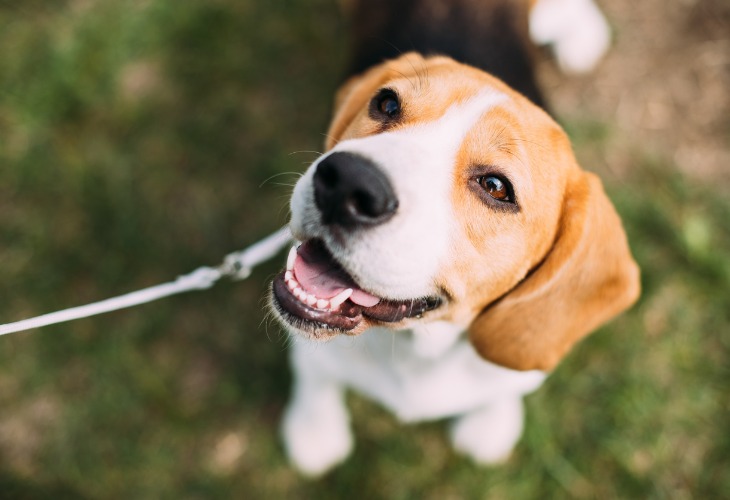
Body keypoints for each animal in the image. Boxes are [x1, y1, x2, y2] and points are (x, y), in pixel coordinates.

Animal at [268, 0, 636, 474]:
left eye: (496, 187)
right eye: (387, 103)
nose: (346, 182)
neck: (416, 348)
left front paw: (491, 424)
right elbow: (316, 372)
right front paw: (315, 429)